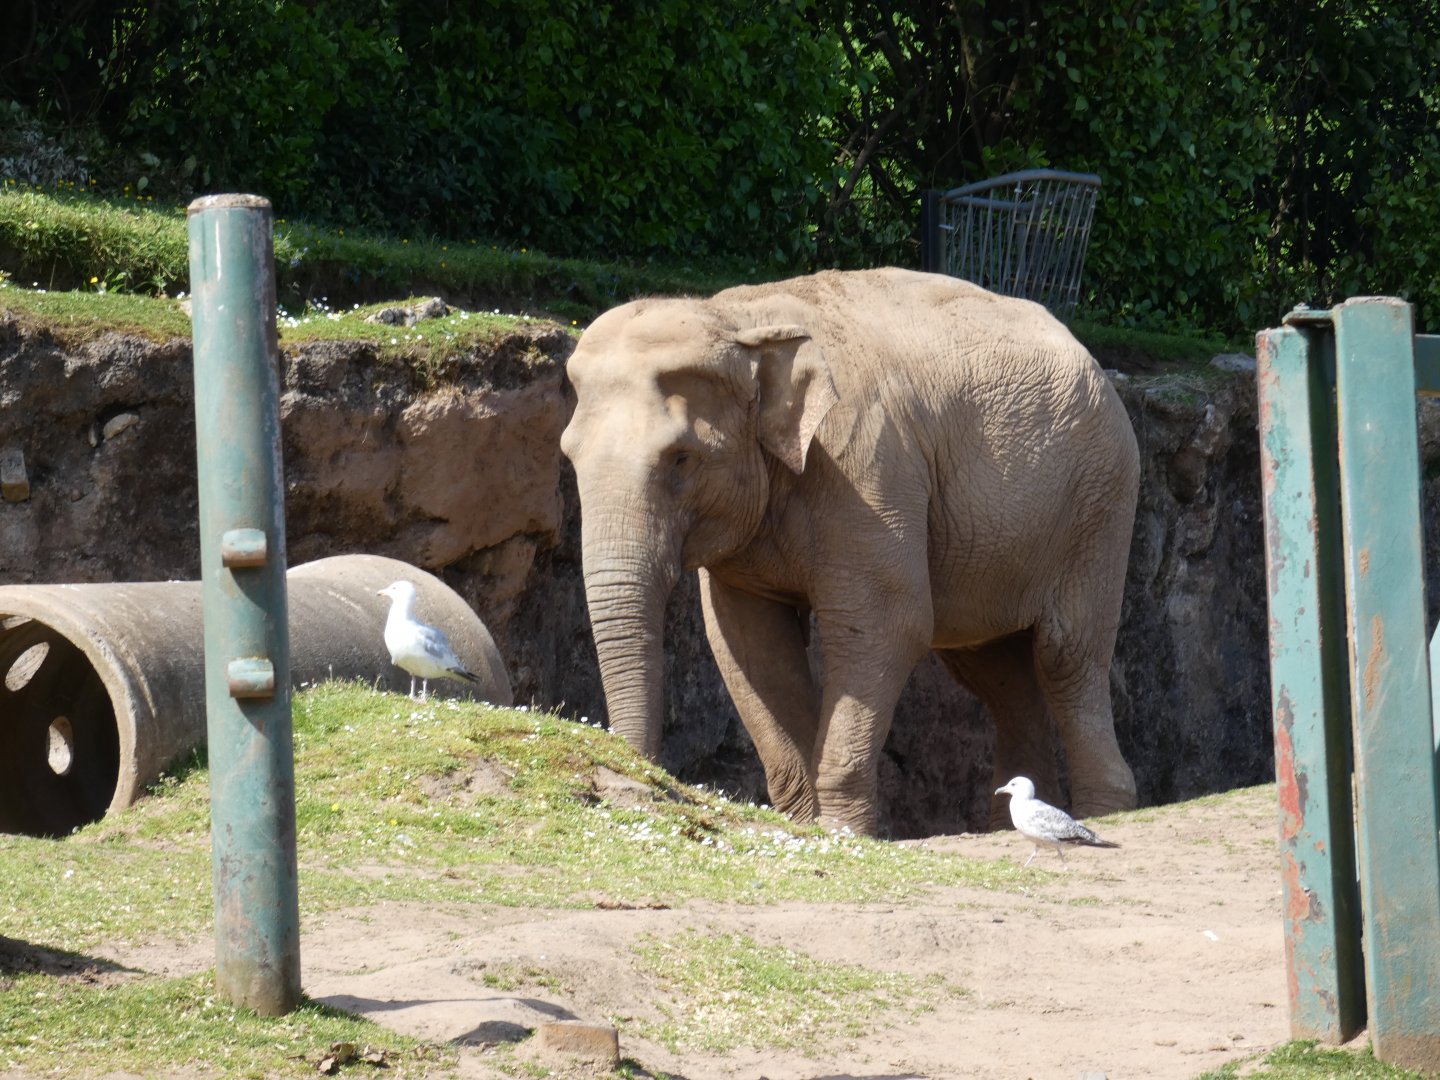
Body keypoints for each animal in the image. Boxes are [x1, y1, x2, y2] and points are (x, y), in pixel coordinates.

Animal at [560, 267, 1139, 835]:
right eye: (568, 453)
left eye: (682, 459)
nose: (641, 771)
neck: (741, 319)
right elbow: (746, 640)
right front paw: (807, 825)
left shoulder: (865, 465)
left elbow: (887, 623)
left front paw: (843, 832)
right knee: (996, 670)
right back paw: (1010, 824)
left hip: (1098, 505)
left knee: (1067, 653)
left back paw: (1104, 811)